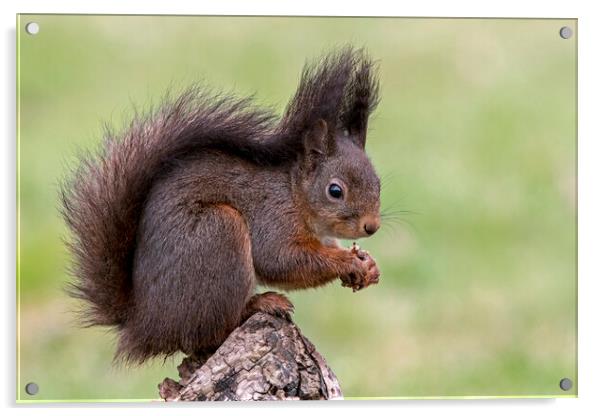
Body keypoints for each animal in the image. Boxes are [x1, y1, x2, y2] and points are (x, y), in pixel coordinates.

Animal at [59, 47, 380, 362]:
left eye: (377, 181)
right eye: (335, 190)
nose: (372, 226)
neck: (294, 194)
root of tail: (145, 325)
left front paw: (367, 265)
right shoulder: (271, 217)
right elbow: (281, 260)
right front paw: (347, 261)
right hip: (220, 233)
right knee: (212, 330)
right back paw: (260, 303)